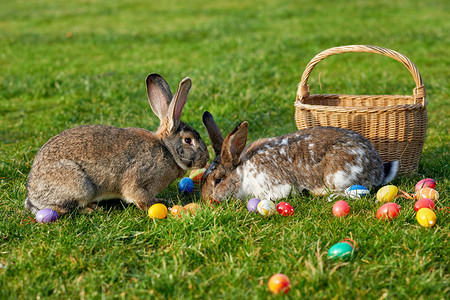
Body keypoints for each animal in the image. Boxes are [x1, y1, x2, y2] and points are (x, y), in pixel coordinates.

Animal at [23, 75, 208, 216]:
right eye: (188, 140)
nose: (206, 159)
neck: (167, 150)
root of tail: (33, 195)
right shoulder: (138, 181)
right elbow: (140, 197)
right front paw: (160, 204)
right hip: (80, 186)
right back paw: (91, 209)